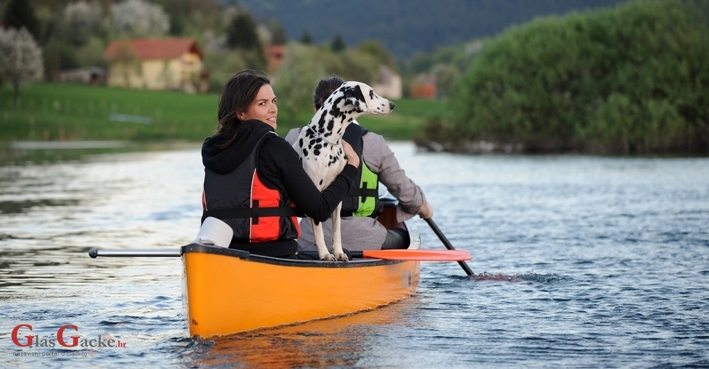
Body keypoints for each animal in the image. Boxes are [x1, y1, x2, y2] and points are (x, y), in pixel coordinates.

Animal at [292, 82, 396, 260]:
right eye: (371, 93)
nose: (392, 104)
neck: (328, 140)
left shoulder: (337, 196)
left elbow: (336, 230)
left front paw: (338, 252)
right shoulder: (315, 194)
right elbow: (319, 229)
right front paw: (325, 253)